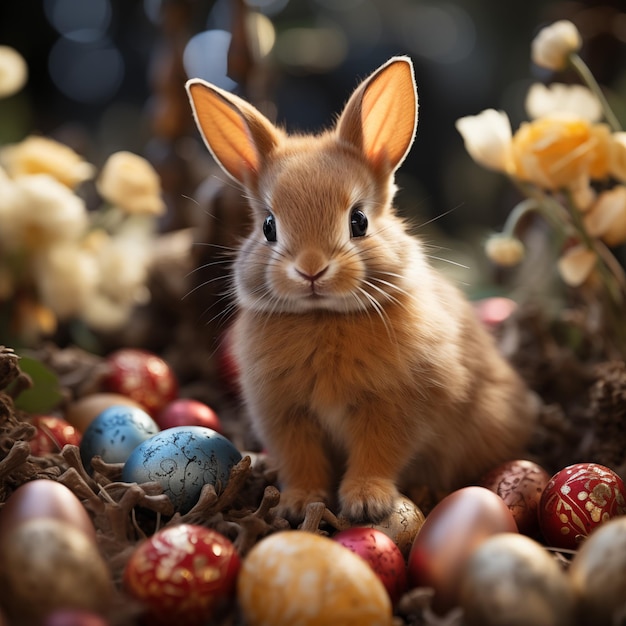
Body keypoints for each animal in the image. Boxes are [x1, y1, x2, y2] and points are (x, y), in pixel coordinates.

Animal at [185, 56, 536, 520]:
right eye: (268, 227)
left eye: (359, 221)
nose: (311, 269)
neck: (323, 316)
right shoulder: (285, 415)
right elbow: (302, 459)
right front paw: (299, 503)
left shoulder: (393, 408)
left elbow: (377, 453)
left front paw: (367, 502)